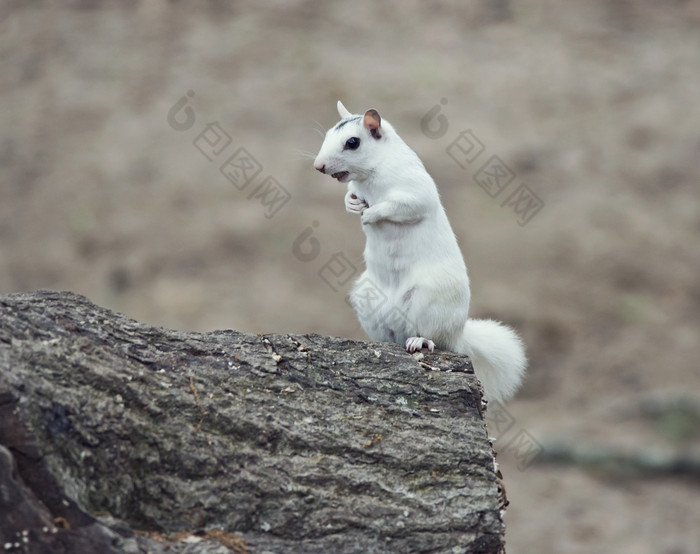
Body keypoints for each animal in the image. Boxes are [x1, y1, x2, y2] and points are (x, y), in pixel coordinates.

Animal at [314, 100, 524, 402]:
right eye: (329, 133)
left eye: (352, 142)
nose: (318, 166)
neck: (371, 175)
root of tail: (458, 334)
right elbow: (350, 198)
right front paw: (352, 206)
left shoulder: (414, 192)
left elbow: (398, 206)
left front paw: (370, 215)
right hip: (368, 303)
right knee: (392, 337)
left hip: (430, 301)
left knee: (435, 338)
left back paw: (420, 340)